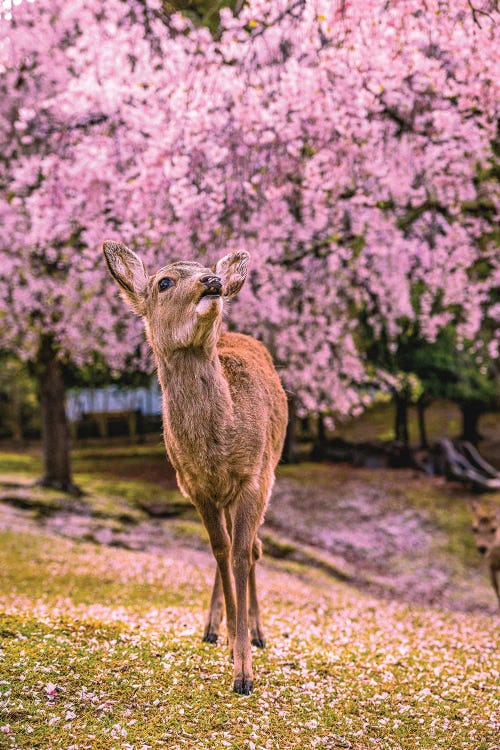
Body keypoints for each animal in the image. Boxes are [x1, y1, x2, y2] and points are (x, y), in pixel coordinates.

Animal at [102, 239, 288, 692]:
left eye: (205, 267)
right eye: (164, 282)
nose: (213, 280)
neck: (215, 452)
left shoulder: (253, 477)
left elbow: (241, 554)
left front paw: (244, 672)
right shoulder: (195, 486)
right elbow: (220, 551)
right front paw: (230, 641)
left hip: (270, 473)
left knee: (254, 548)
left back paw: (257, 632)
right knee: (231, 548)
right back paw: (213, 629)